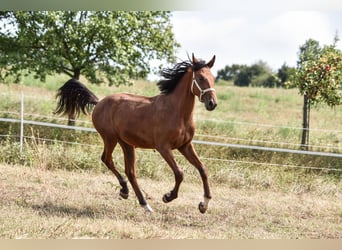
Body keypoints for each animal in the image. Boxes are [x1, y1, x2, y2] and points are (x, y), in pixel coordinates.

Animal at [55, 54, 216, 213]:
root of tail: (99, 102)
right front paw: (168, 197)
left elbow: (203, 169)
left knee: (130, 172)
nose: (212, 104)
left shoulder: (185, 146)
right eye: (201, 78)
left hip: (127, 144)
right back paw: (126, 191)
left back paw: (141, 202)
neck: (177, 113)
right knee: (107, 159)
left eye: (213, 78)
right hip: (110, 138)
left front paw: (204, 204)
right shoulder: (163, 148)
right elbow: (179, 173)